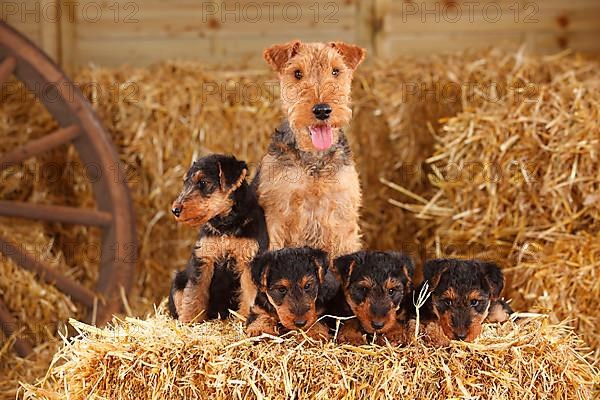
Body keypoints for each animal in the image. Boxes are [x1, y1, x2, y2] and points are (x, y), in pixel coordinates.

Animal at [165, 155, 266, 324]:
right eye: (185, 183)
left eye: (203, 182)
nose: (175, 210)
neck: (225, 224)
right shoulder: (204, 258)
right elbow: (194, 293)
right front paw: (190, 320)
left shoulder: (247, 260)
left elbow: (249, 293)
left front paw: (245, 318)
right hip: (178, 281)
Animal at [253, 40, 366, 262]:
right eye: (297, 73)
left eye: (335, 71)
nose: (322, 110)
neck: (314, 160)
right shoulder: (276, 216)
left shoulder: (343, 219)